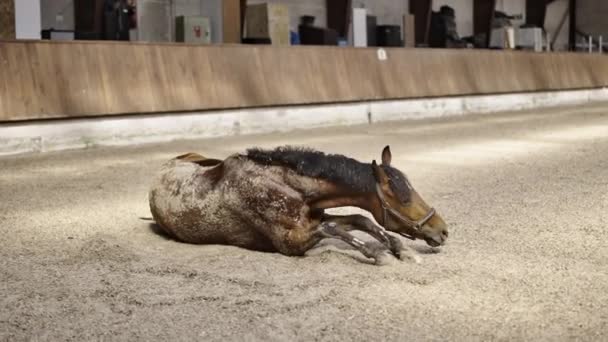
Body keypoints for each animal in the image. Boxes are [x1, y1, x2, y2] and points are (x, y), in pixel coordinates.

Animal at [150, 145, 448, 264]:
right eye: (404, 198)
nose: (443, 230)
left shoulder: (317, 218)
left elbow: (359, 220)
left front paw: (402, 251)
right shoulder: (291, 243)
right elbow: (335, 228)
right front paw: (379, 254)